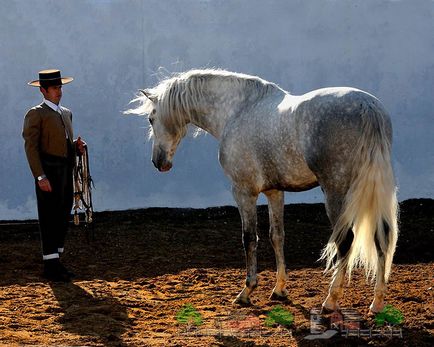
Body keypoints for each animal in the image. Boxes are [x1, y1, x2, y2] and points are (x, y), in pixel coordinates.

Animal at [127, 69, 398, 314]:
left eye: (151, 118)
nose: (158, 162)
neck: (235, 111)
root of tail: (368, 107)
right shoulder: (274, 191)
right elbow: (276, 236)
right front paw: (279, 289)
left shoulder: (244, 192)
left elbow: (249, 238)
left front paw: (247, 291)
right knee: (381, 236)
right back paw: (377, 303)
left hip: (335, 192)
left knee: (345, 241)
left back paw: (330, 301)